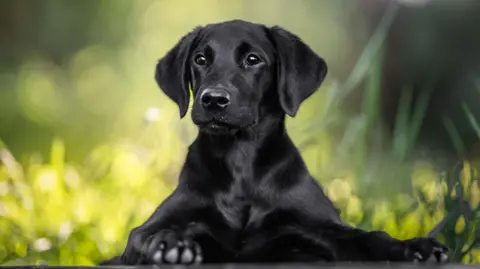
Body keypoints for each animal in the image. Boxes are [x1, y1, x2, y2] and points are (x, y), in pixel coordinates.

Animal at [102, 19, 450, 264]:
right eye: (200, 59)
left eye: (253, 59)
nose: (212, 100)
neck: (241, 161)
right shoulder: (150, 229)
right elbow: (154, 234)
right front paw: (170, 244)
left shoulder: (320, 228)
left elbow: (369, 237)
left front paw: (414, 247)